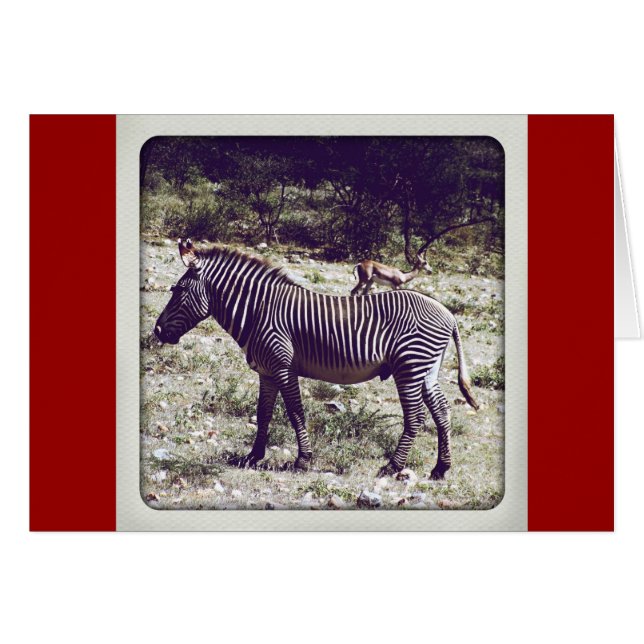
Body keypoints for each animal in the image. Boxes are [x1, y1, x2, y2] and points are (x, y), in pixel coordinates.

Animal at [154, 239, 479, 479]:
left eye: (177, 291)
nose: (157, 331)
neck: (258, 310)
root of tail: (448, 313)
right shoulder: (266, 372)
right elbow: (263, 413)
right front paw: (253, 456)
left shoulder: (283, 367)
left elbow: (295, 411)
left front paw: (303, 460)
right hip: (426, 369)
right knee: (442, 412)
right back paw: (440, 469)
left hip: (409, 366)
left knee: (416, 417)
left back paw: (392, 467)